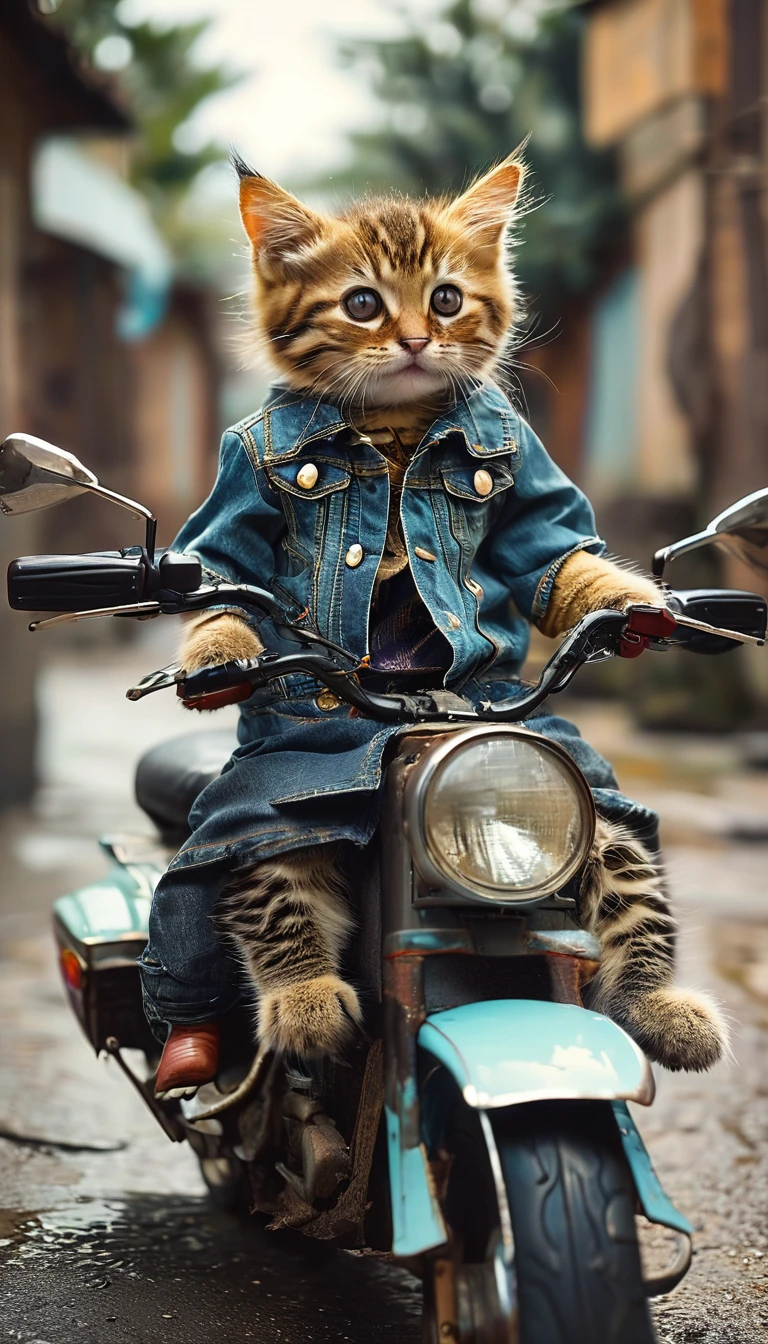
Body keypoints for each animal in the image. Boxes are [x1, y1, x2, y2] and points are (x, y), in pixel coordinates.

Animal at [180, 154, 726, 1069]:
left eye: (444, 299)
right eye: (362, 304)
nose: (413, 341)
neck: (398, 426)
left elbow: (558, 556)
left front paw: (640, 603)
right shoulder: (241, 479)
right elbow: (219, 571)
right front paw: (214, 649)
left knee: (627, 877)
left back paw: (660, 1002)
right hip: (273, 795)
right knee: (273, 867)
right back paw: (301, 995)